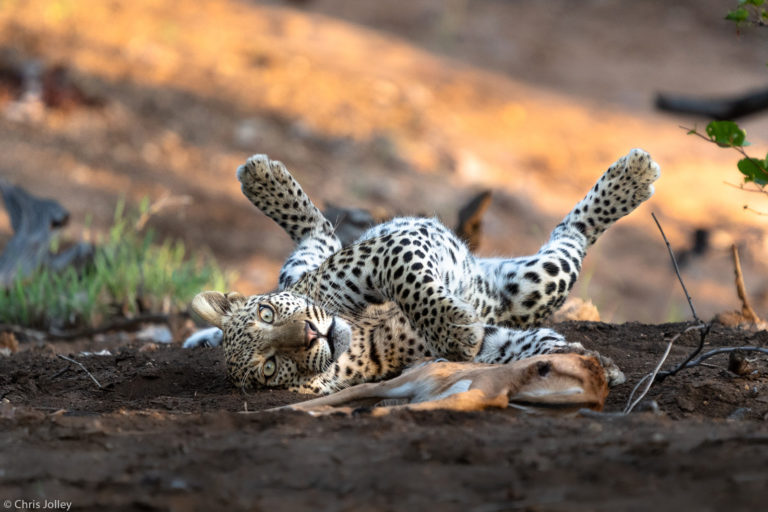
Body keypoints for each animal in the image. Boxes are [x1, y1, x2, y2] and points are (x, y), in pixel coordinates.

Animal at [188, 149, 660, 396]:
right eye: (270, 367)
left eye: (266, 314)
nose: (309, 334)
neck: (357, 338)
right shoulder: (478, 349)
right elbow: (521, 346)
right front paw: (591, 364)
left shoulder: (388, 251)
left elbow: (409, 279)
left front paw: (451, 325)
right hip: (529, 287)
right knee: (570, 238)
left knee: (316, 235)